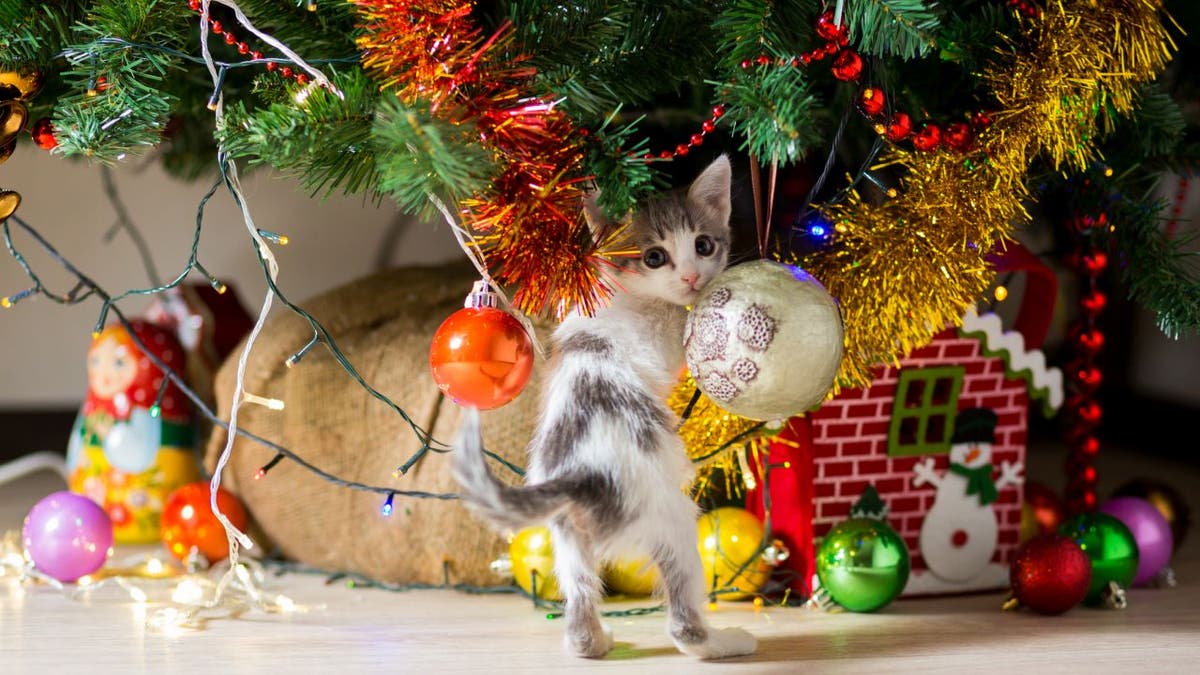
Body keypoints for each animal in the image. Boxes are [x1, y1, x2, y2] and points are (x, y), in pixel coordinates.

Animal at [453, 153, 753, 658]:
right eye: (655, 257)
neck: (628, 294)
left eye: (704, 244)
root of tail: (582, 472)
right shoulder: (660, 338)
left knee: (577, 600)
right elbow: (688, 335)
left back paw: (592, 640)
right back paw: (722, 642)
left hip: (566, 534)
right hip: (670, 515)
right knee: (682, 619)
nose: (692, 278)